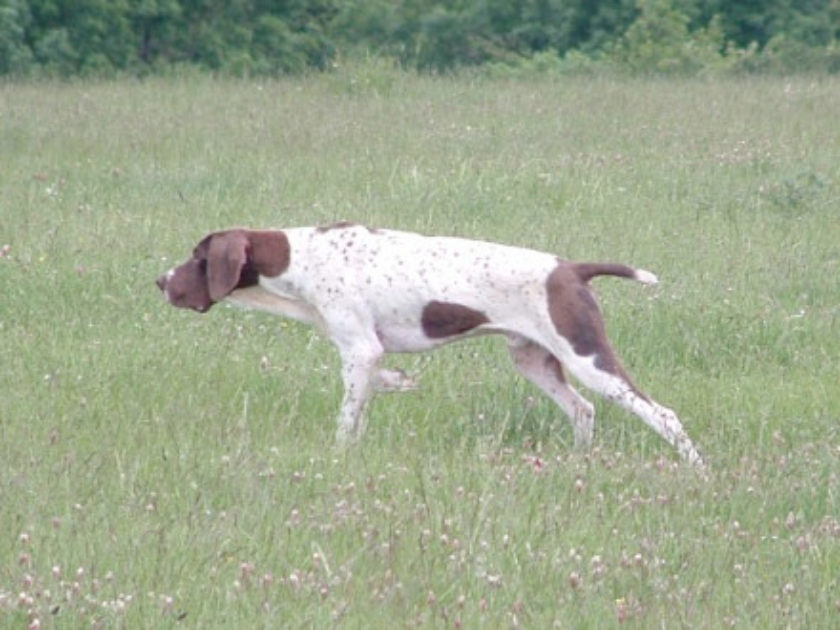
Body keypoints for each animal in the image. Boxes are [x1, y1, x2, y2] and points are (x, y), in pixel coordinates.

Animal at [159, 222, 704, 464]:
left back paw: (696, 470)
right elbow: (378, 386)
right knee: (582, 410)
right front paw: (398, 382)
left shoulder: (359, 351)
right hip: (534, 361)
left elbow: (348, 419)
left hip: (587, 356)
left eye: (197, 258)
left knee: (663, 415)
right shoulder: (365, 354)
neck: (299, 259)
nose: (161, 281)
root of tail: (569, 268)